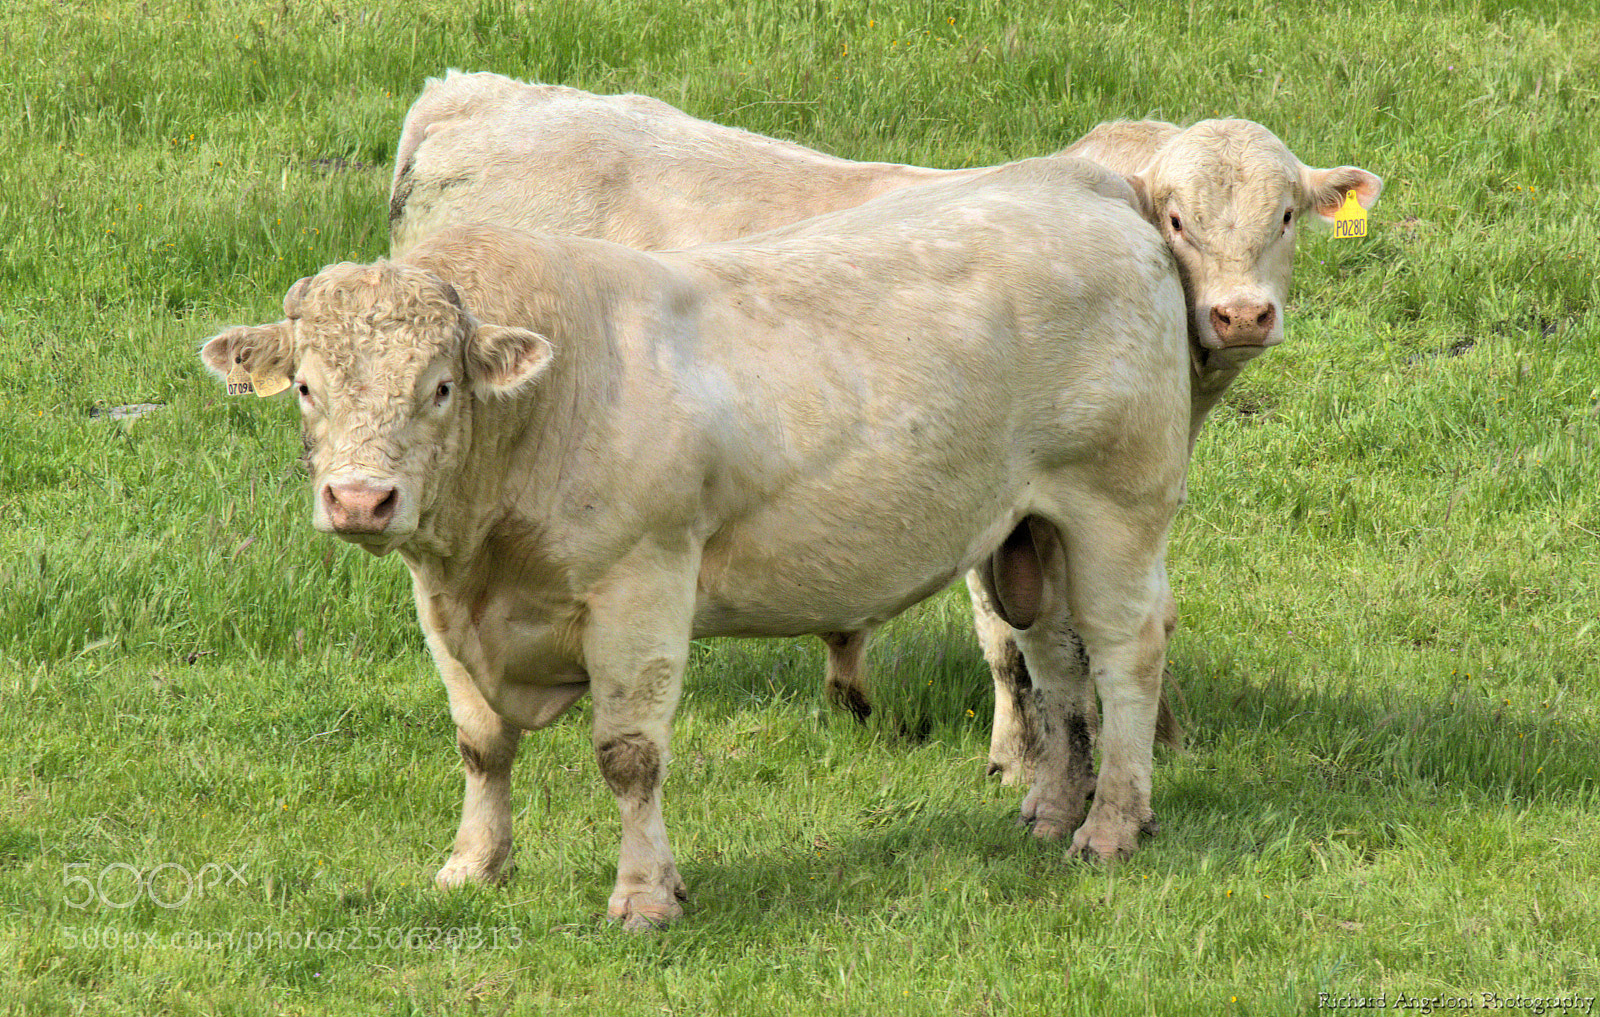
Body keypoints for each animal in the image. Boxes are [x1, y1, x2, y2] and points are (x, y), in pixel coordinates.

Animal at [203, 158, 1191, 927]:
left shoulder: (641, 586)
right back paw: (1054, 806)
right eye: (306, 386)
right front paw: (472, 867)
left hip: (1117, 507)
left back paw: (1112, 824)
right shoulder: (442, 601)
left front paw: (644, 894)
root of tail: (1079, 181)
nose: (361, 499)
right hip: (1029, 531)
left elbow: (628, 757)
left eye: (441, 387)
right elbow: (480, 743)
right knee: (1055, 661)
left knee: (1125, 654)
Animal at [386, 71, 1382, 793]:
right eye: (1179, 219)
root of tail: (467, 92)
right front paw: (1020, 757)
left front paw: (1156, 739)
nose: (1242, 313)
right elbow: (1013, 635)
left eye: (1284, 215)